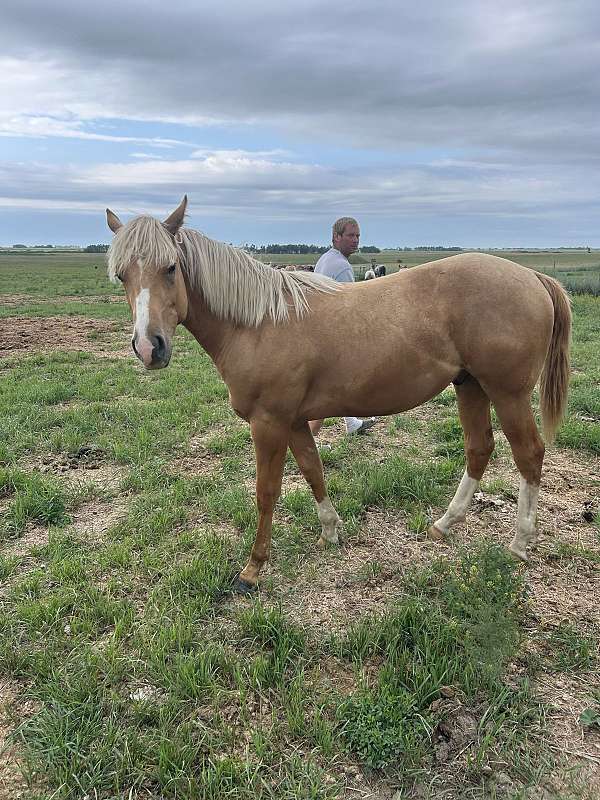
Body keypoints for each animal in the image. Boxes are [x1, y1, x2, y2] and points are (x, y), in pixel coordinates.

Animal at [105, 196, 571, 594]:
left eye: (170, 267)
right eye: (122, 275)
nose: (149, 347)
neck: (258, 323)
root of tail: (532, 276)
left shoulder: (268, 423)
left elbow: (266, 492)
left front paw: (253, 569)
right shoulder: (293, 421)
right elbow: (313, 471)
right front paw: (330, 531)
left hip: (507, 394)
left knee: (529, 454)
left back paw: (519, 544)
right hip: (470, 386)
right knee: (479, 448)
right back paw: (444, 524)